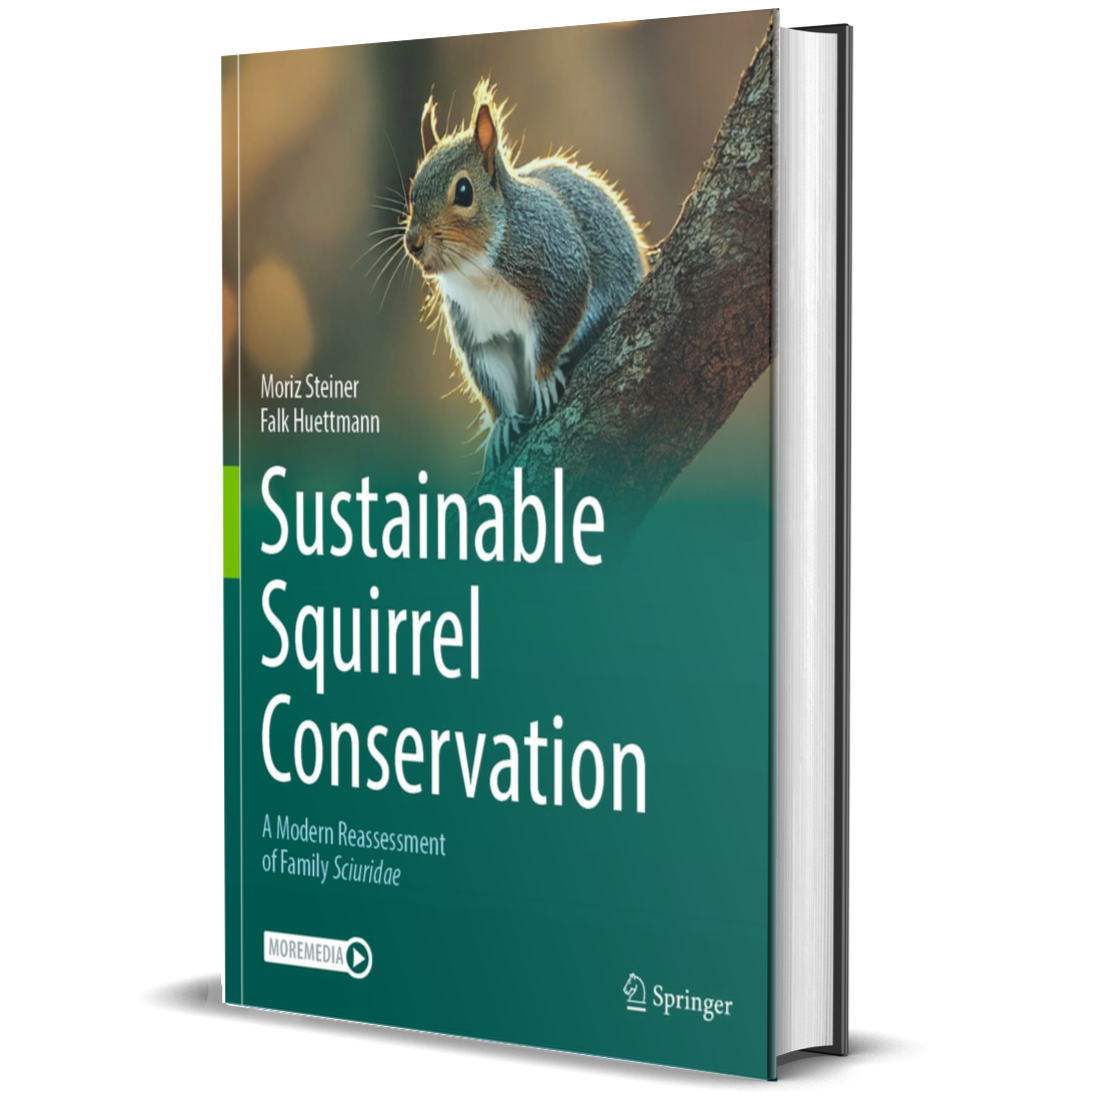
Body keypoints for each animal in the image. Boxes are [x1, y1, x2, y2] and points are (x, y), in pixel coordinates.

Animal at [402, 81, 650, 472]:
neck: (477, 271)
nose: (413, 243)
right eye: (414, 188)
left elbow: (560, 319)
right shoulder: (479, 328)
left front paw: (545, 376)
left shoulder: (559, 267)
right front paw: (502, 425)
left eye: (463, 191)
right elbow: (491, 374)